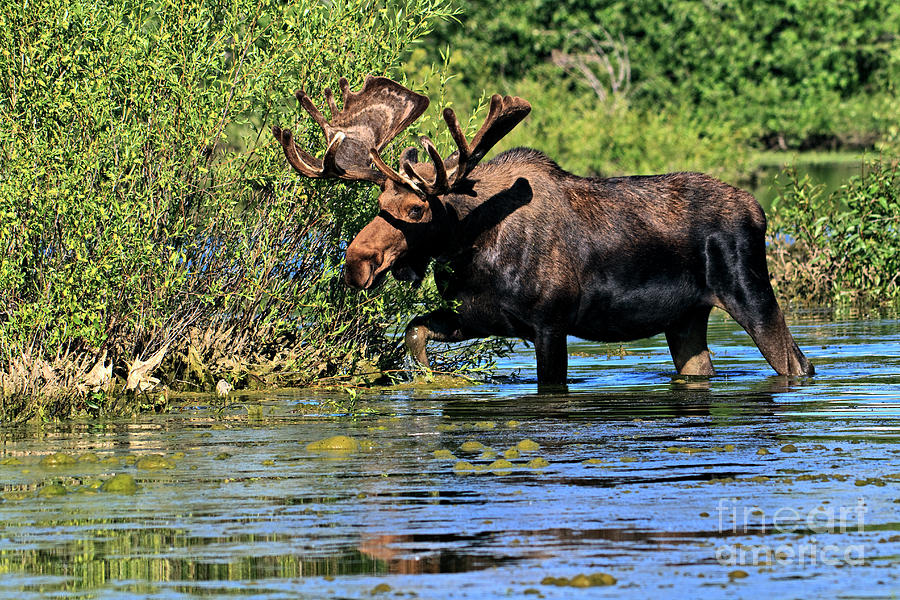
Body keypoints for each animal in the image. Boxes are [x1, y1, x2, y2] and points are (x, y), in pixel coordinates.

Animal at [270, 76, 812, 384]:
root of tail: (759, 211)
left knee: (797, 364)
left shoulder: (551, 324)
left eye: (417, 209)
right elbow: (414, 331)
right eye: (379, 202)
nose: (356, 263)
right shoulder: (483, 316)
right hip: (685, 318)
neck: (472, 248)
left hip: (750, 293)